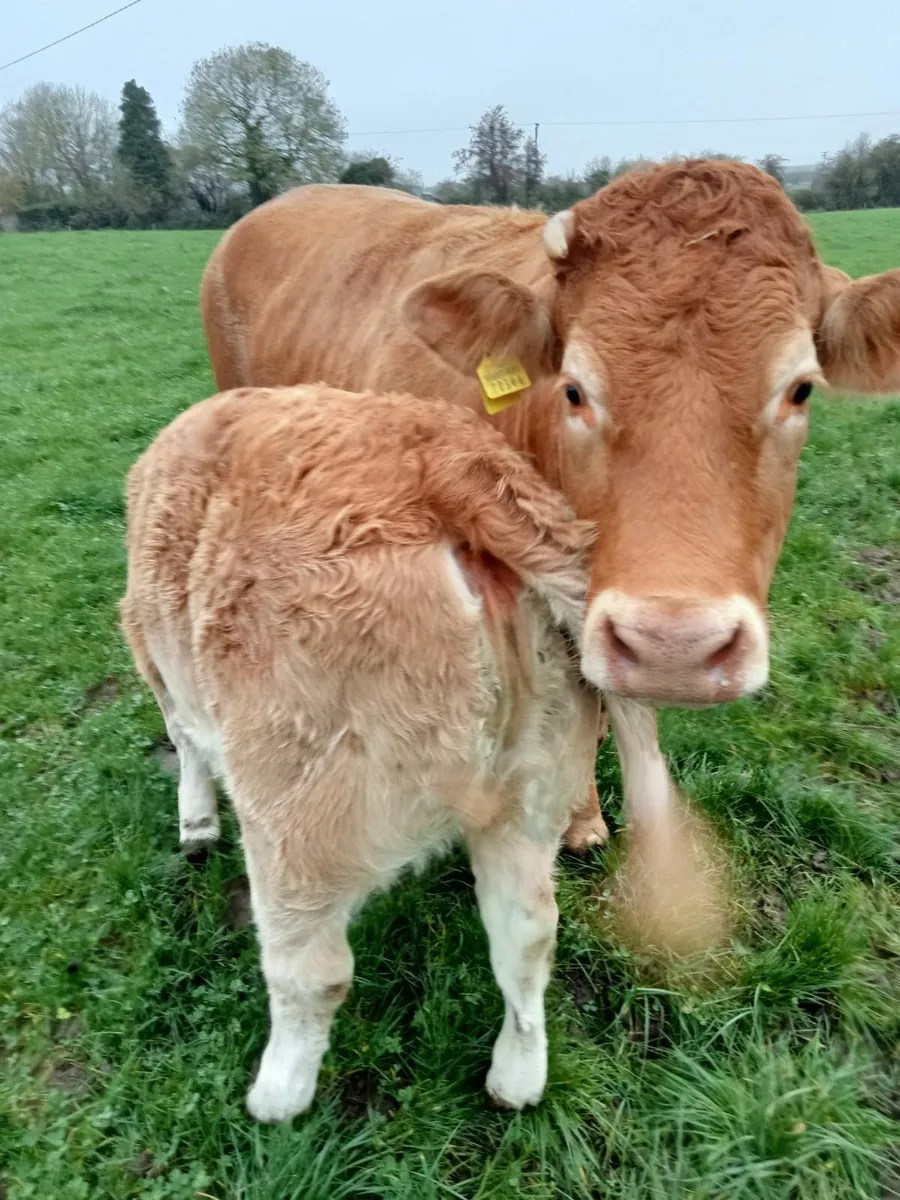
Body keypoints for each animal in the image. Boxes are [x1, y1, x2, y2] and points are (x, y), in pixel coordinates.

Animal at [122, 384, 604, 1119]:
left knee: (312, 970)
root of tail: (447, 464)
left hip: (296, 808)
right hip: (536, 783)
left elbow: (183, 739)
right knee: (528, 933)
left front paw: (195, 820)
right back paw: (515, 1079)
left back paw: (277, 1096)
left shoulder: (158, 662)